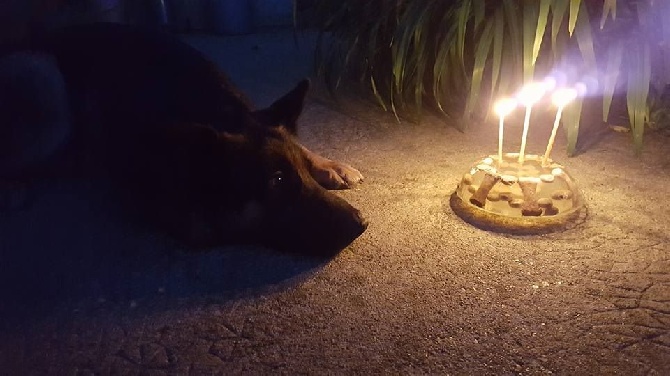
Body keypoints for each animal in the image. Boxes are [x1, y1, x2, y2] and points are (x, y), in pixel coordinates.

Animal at [0, 22, 368, 256]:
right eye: (276, 181)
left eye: (304, 170)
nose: (362, 223)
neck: (212, 108)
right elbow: (197, 224)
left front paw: (330, 166)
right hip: (44, 82)